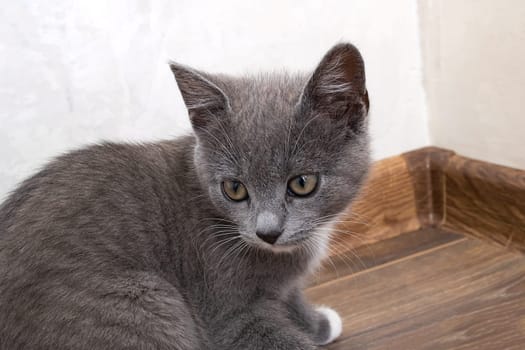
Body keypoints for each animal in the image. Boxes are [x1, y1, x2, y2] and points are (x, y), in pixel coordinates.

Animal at [0, 42, 368, 348]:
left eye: (302, 183)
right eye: (234, 189)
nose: (268, 232)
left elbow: (292, 298)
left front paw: (318, 323)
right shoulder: (227, 311)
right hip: (144, 301)